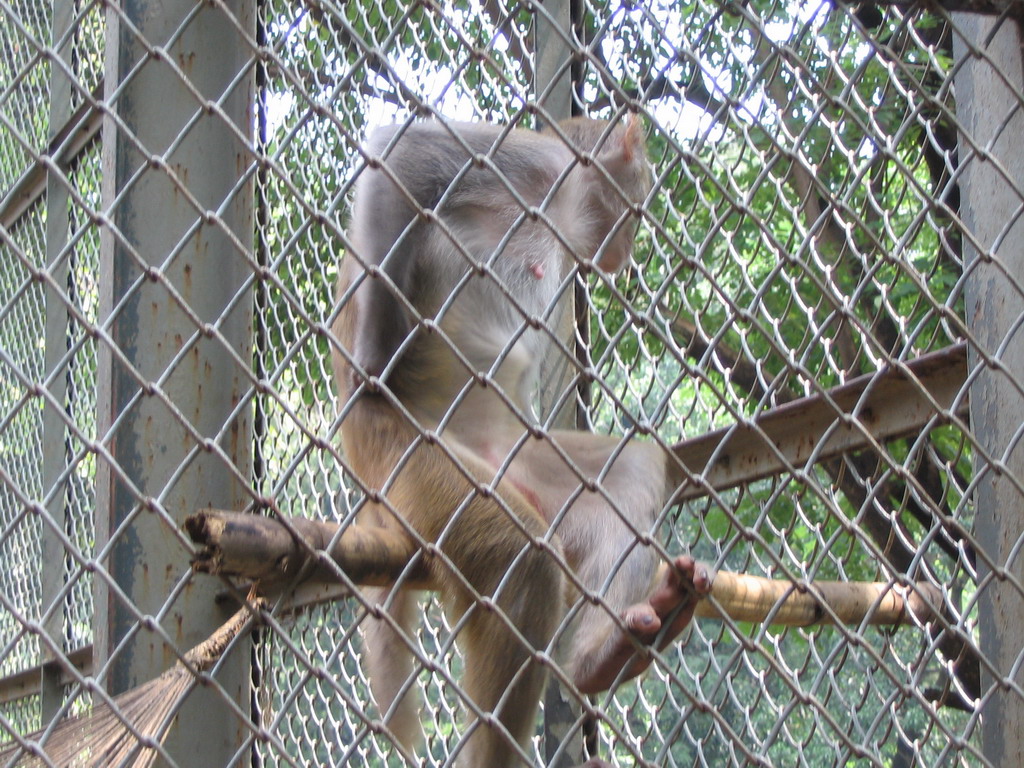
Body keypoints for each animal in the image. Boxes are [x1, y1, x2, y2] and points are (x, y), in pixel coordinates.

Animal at [331, 115, 708, 768]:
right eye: (638, 207)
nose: (626, 251)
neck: (562, 207)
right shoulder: (533, 162)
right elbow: (400, 153)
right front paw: (376, 356)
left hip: (519, 462)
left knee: (627, 473)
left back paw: (605, 656)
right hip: (409, 456)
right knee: (523, 556)